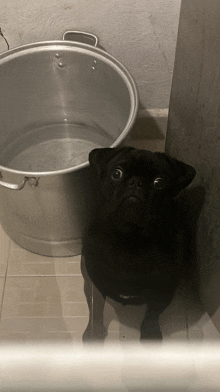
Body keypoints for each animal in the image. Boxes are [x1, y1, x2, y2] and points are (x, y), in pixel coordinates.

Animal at [82, 147, 196, 340]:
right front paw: (94, 333)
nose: (136, 182)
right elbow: (96, 309)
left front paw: (150, 333)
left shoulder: (163, 290)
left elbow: (152, 314)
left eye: (159, 182)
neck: (130, 235)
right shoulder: (94, 282)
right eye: (116, 174)